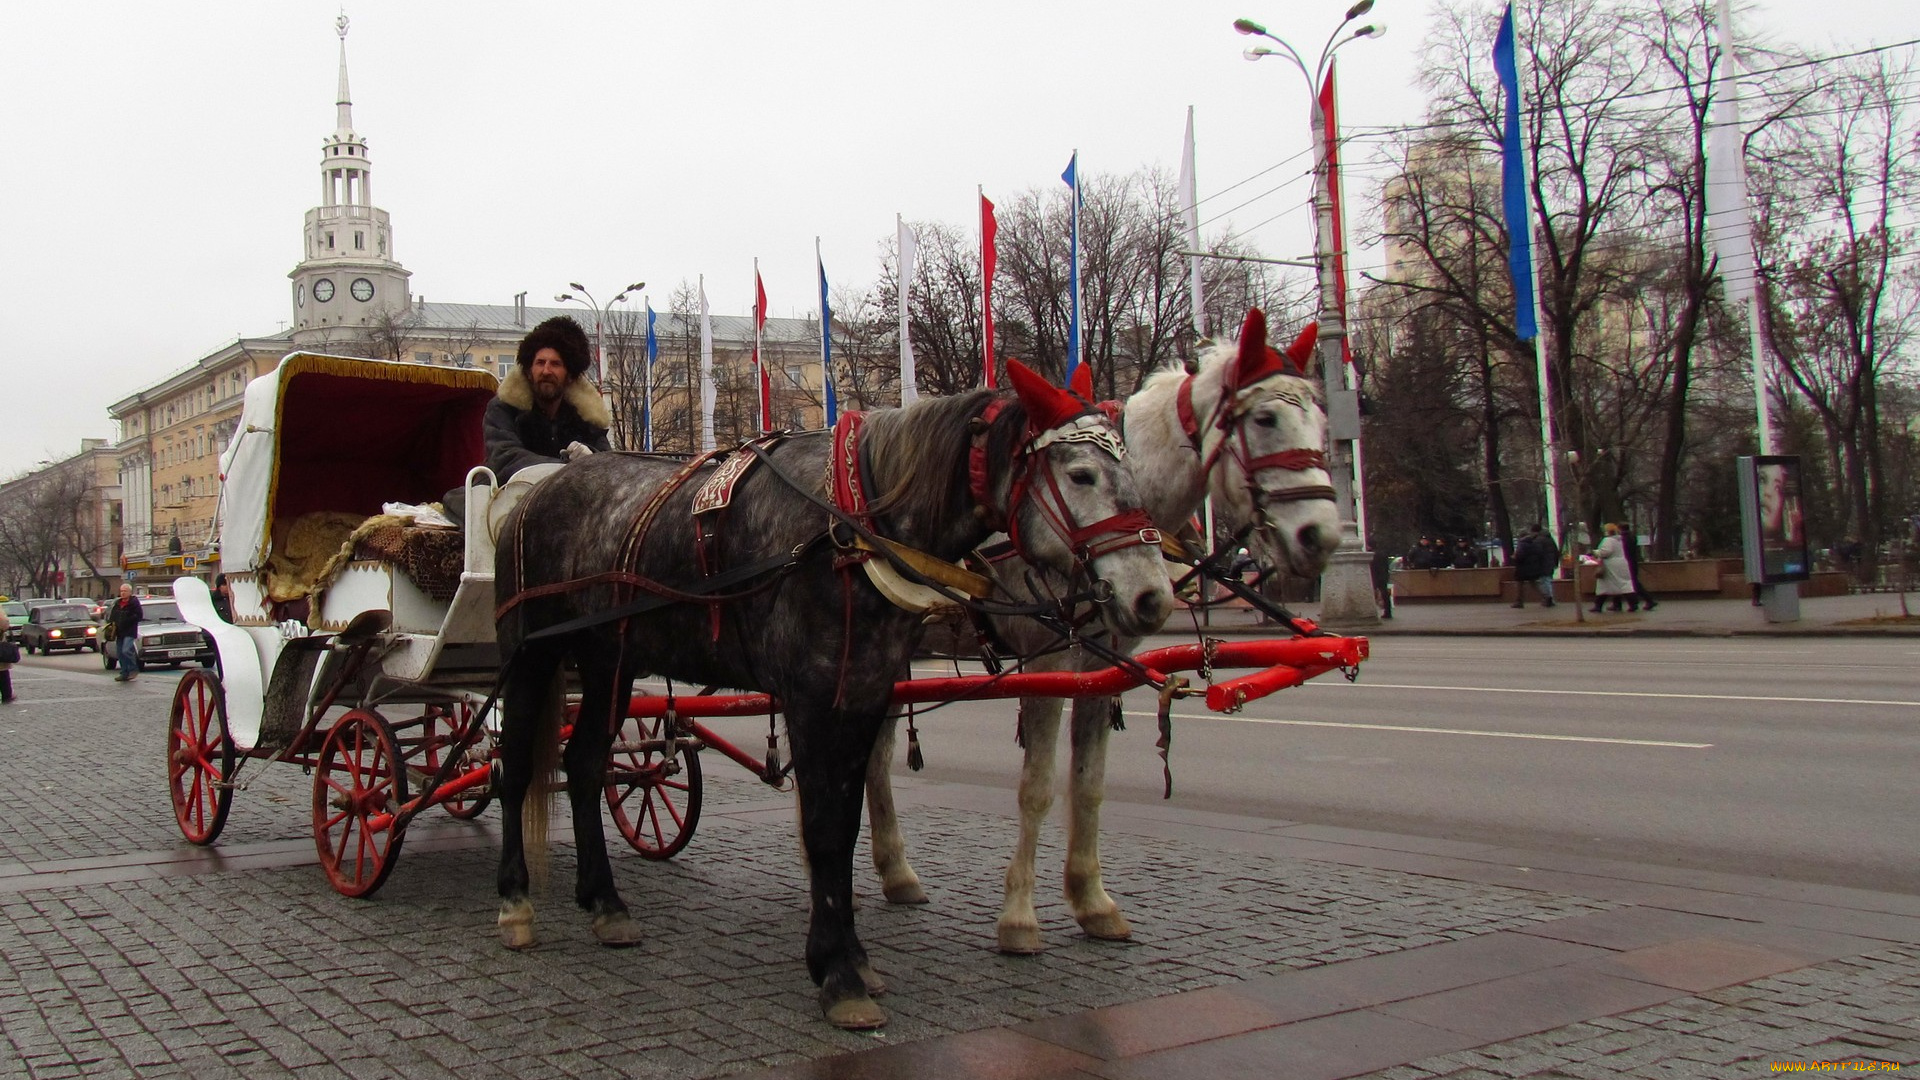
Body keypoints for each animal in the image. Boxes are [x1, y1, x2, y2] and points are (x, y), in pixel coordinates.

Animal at [867, 307, 1336, 945]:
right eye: (1265, 418)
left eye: (1320, 419)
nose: (1323, 536)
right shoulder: (1046, 665)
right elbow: (1037, 788)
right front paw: (1019, 916)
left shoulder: (1101, 668)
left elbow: (1088, 786)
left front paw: (1091, 900)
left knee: (875, 754)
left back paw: (896, 872)